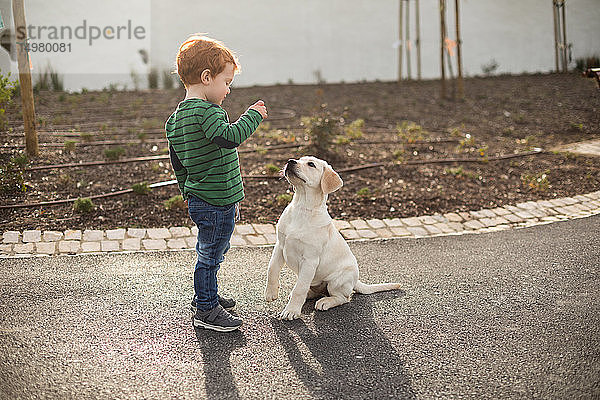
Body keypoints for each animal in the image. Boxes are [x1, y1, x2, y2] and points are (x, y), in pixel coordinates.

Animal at [264, 155, 400, 320]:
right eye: (299, 159)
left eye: (311, 164)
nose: (290, 161)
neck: (302, 207)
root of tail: (356, 280)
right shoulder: (280, 245)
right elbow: (272, 268)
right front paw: (270, 293)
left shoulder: (309, 260)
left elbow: (299, 288)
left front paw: (292, 311)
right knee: (312, 289)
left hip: (337, 280)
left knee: (342, 298)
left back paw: (325, 302)